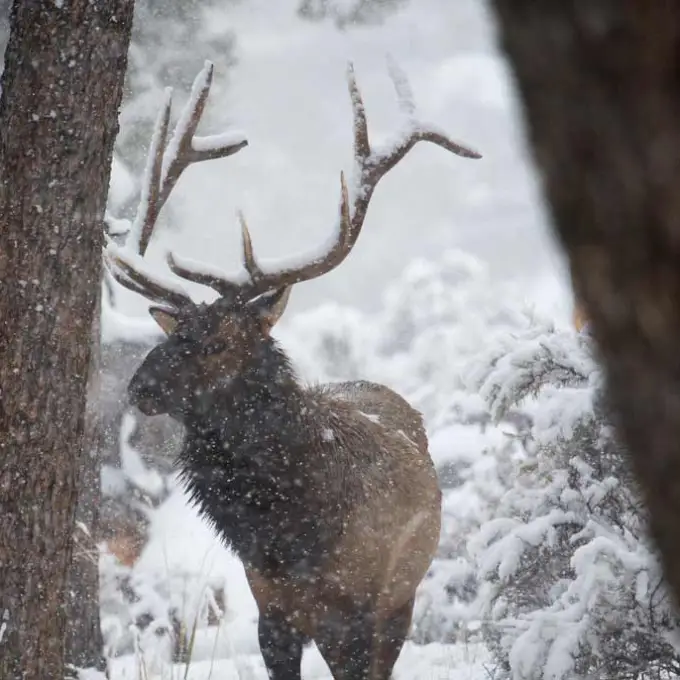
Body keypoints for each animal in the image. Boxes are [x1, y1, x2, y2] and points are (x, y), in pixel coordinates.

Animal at [104, 59, 481, 679]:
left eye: (220, 342)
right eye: (175, 333)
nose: (140, 387)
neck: (289, 536)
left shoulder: (357, 607)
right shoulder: (273, 610)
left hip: (400, 600)